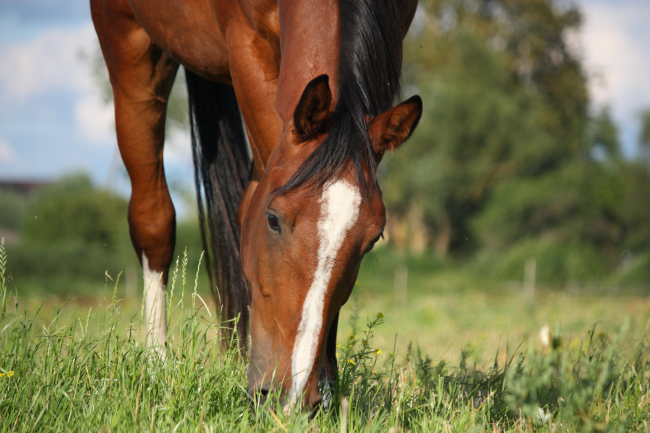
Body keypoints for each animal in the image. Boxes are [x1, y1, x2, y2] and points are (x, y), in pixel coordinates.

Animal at [93, 0, 422, 408]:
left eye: (373, 239)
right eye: (273, 219)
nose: (292, 394)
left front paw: (327, 386)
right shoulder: (245, 41)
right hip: (130, 43)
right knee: (153, 219)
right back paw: (157, 363)